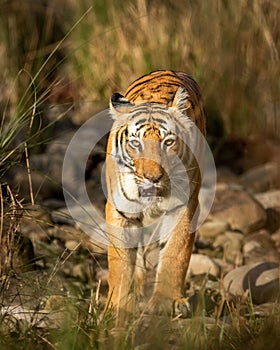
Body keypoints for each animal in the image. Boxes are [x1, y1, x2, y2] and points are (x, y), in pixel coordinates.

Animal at [105, 69, 206, 318]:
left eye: (168, 142)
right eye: (135, 143)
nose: (153, 177)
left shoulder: (185, 207)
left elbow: (175, 252)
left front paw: (165, 302)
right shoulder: (120, 209)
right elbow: (120, 261)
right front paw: (119, 305)